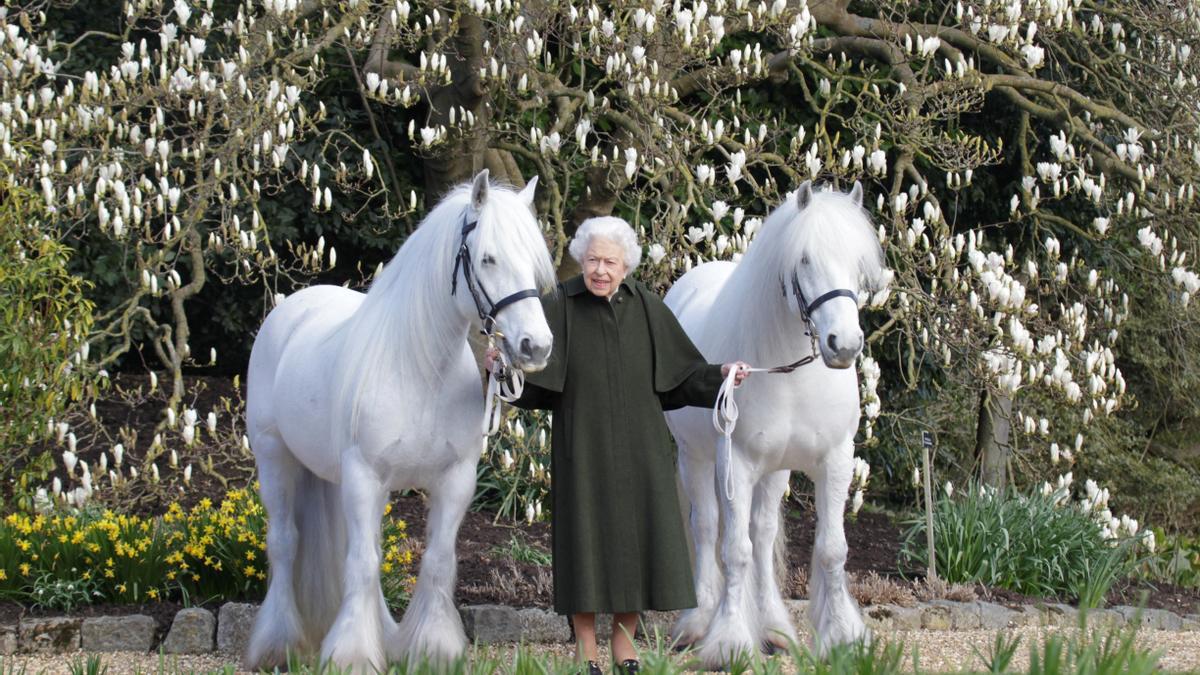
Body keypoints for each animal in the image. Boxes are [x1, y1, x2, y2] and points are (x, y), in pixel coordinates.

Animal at [244, 170, 561, 667]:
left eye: (533, 262)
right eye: (488, 258)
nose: (536, 346)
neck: (419, 370)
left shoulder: (455, 479)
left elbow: (436, 561)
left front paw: (432, 648)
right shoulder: (364, 475)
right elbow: (362, 563)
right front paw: (352, 656)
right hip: (274, 457)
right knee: (284, 543)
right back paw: (278, 644)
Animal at [662, 181, 888, 662]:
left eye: (857, 262)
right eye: (804, 259)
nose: (844, 344)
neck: (792, 373)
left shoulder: (835, 461)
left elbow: (830, 549)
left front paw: (842, 635)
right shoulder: (737, 463)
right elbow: (734, 550)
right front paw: (728, 641)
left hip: (775, 470)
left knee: (763, 535)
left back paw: (773, 628)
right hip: (697, 459)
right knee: (707, 528)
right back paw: (697, 622)